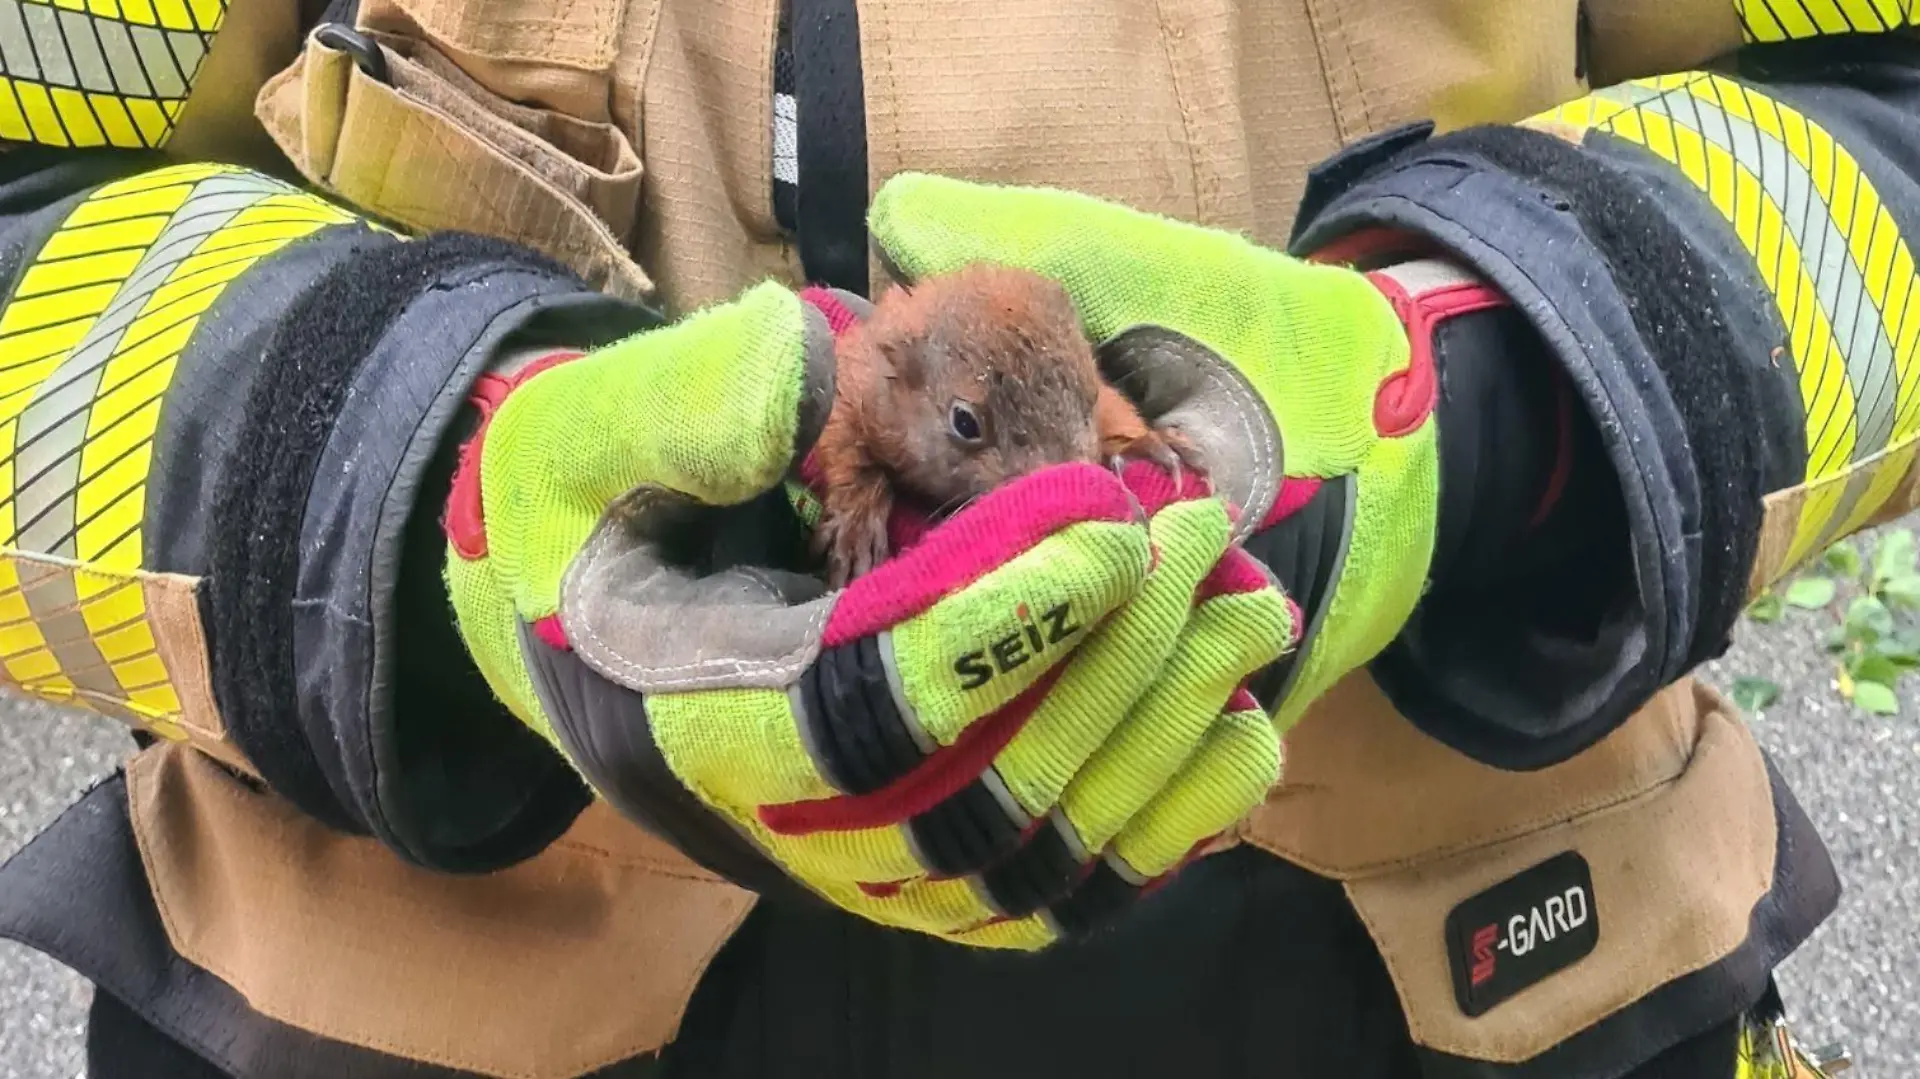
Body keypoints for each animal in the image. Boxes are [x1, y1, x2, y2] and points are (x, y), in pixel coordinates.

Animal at [810, 263, 1201, 587]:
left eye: (1089, 396)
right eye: (964, 422)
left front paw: (1143, 446)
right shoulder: (856, 382)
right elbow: (843, 440)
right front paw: (857, 522)